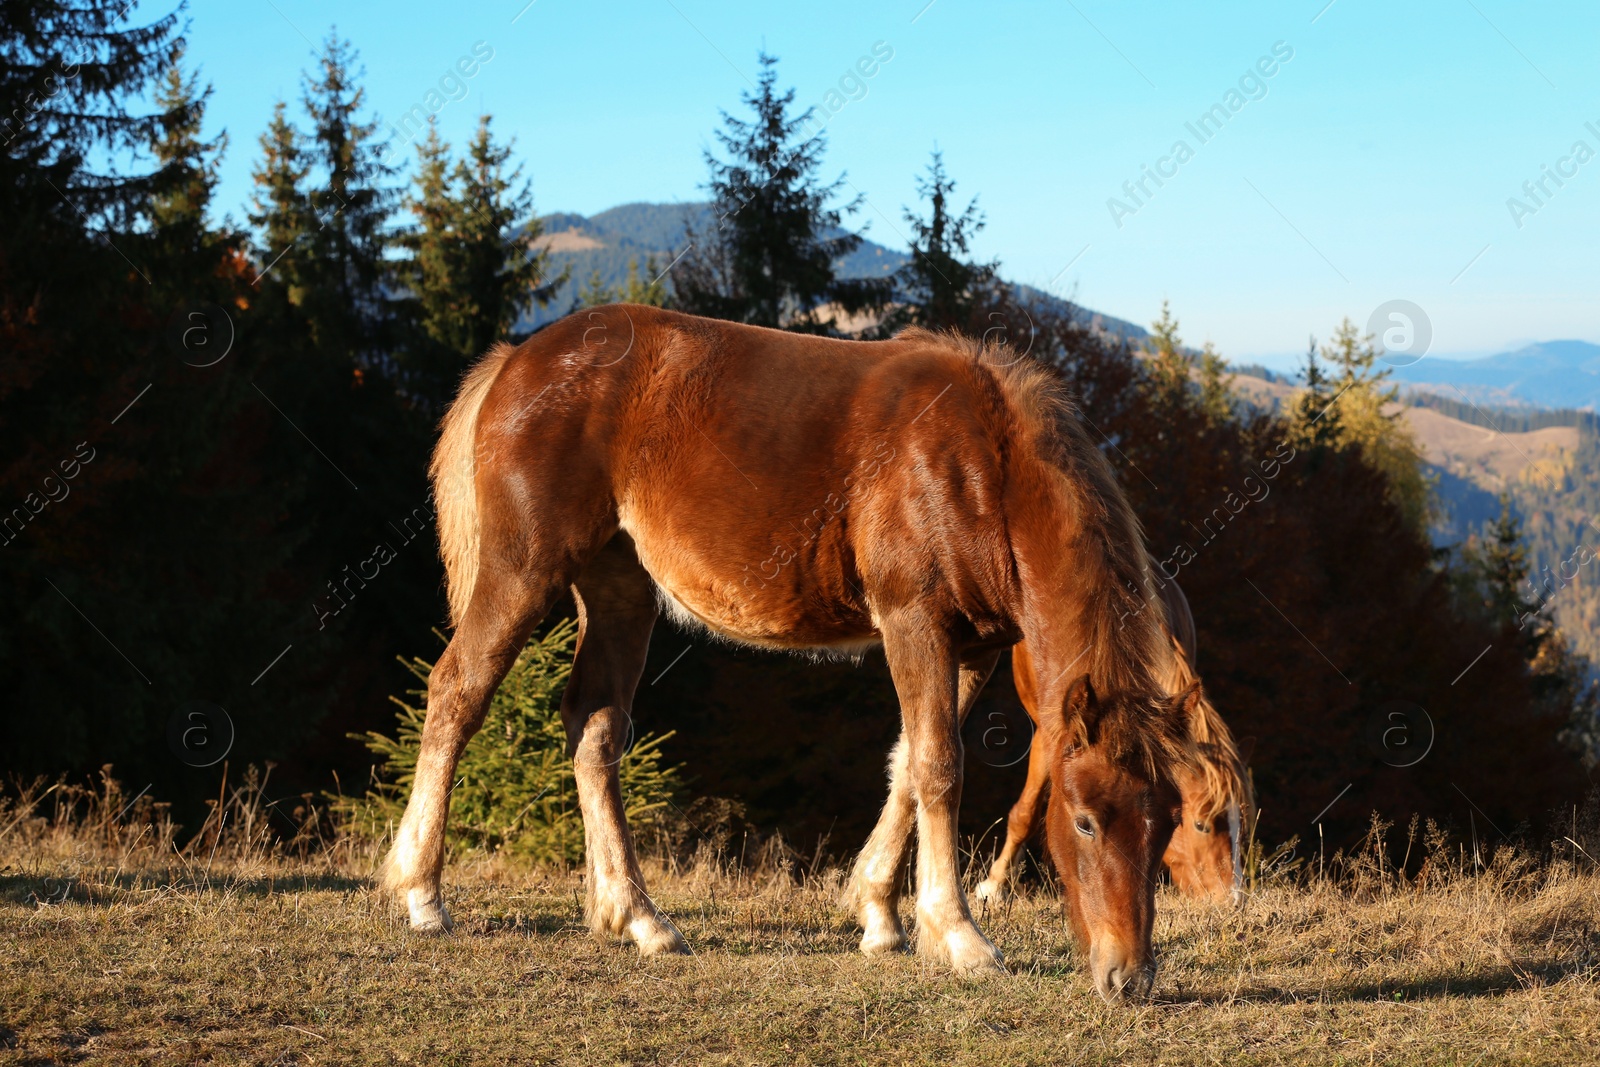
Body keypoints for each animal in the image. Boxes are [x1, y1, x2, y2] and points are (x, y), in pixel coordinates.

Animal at [380, 307, 1196, 979]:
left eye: (1167, 822)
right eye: (1085, 819)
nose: (1129, 975)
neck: (977, 466)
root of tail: (517, 359)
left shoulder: (972, 649)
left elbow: (909, 763)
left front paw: (878, 913)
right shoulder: (915, 622)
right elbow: (939, 767)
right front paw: (958, 935)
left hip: (618, 591)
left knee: (594, 728)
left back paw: (639, 917)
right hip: (522, 569)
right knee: (455, 693)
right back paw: (422, 893)